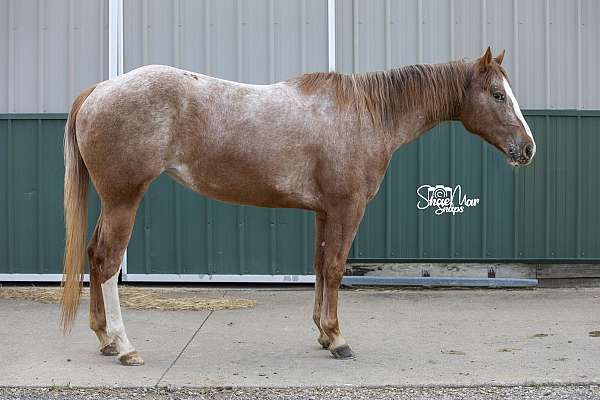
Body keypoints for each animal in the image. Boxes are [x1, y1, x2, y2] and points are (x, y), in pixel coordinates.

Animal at [62, 47, 536, 366]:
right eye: (497, 94)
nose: (527, 148)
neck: (365, 116)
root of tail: (99, 90)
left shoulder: (325, 212)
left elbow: (320, 265)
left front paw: (323, 335)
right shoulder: (346, 209)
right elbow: (336, 268)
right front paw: (338, 339)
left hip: (113, 201)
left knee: (93, 255)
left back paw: (104, 339)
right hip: (124, 198)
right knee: (107, 262)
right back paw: (125, 347)